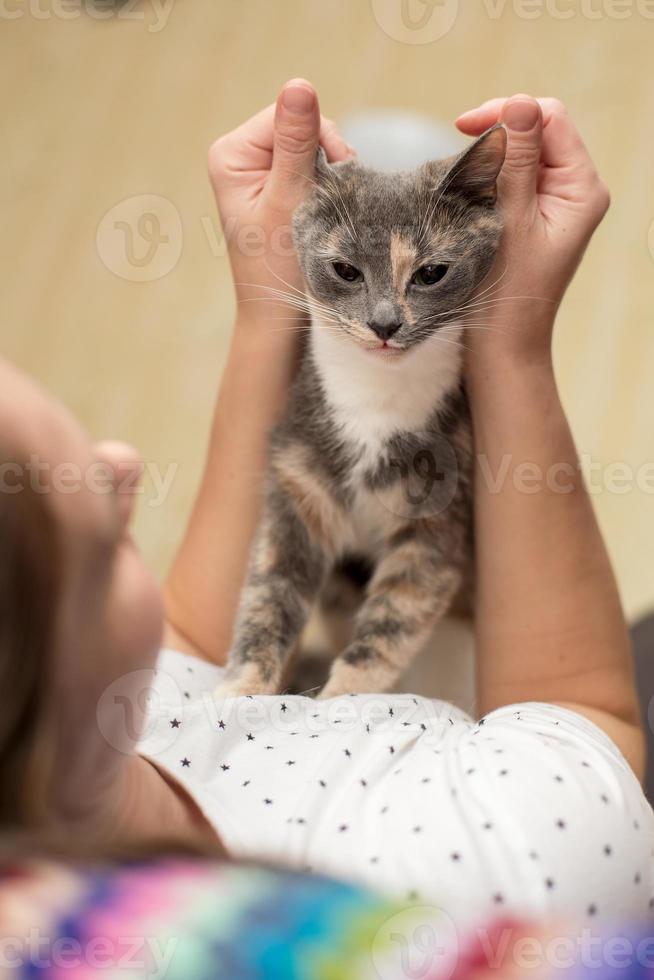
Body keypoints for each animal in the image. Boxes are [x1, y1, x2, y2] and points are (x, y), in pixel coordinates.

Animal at [218, 122, 510, 700]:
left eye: (431, 272)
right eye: (346, 271)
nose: (384, 324)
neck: (376, 398)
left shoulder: (439, 519)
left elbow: (393, 620)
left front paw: (338, 700)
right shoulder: (296, 482)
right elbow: (268, 592)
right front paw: (239, 692)